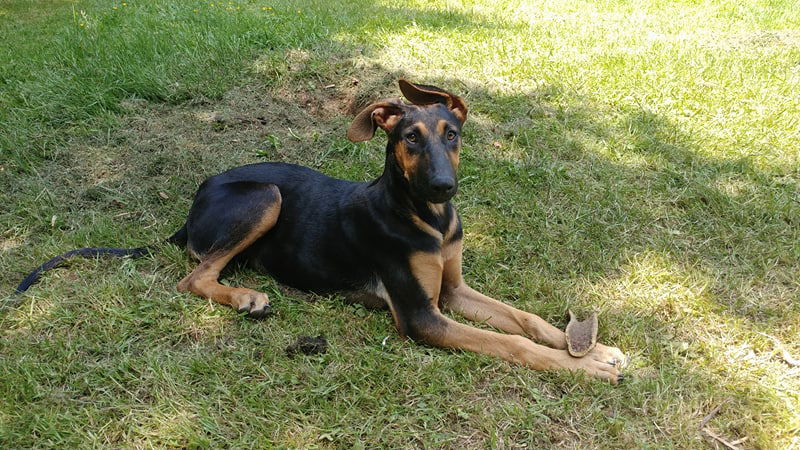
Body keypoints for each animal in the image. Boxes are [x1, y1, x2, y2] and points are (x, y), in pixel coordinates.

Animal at [17, 80, 624, 380]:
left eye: (451, 134)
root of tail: (195, 198)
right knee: (192, 276)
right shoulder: (421, 317)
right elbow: (511, 343)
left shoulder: (451, 290)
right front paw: (586, 366)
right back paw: (247, 297)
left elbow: (522, 320)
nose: (443, 188)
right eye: (409, 138)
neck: (425, 219)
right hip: (266, 195)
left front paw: (588, 345)